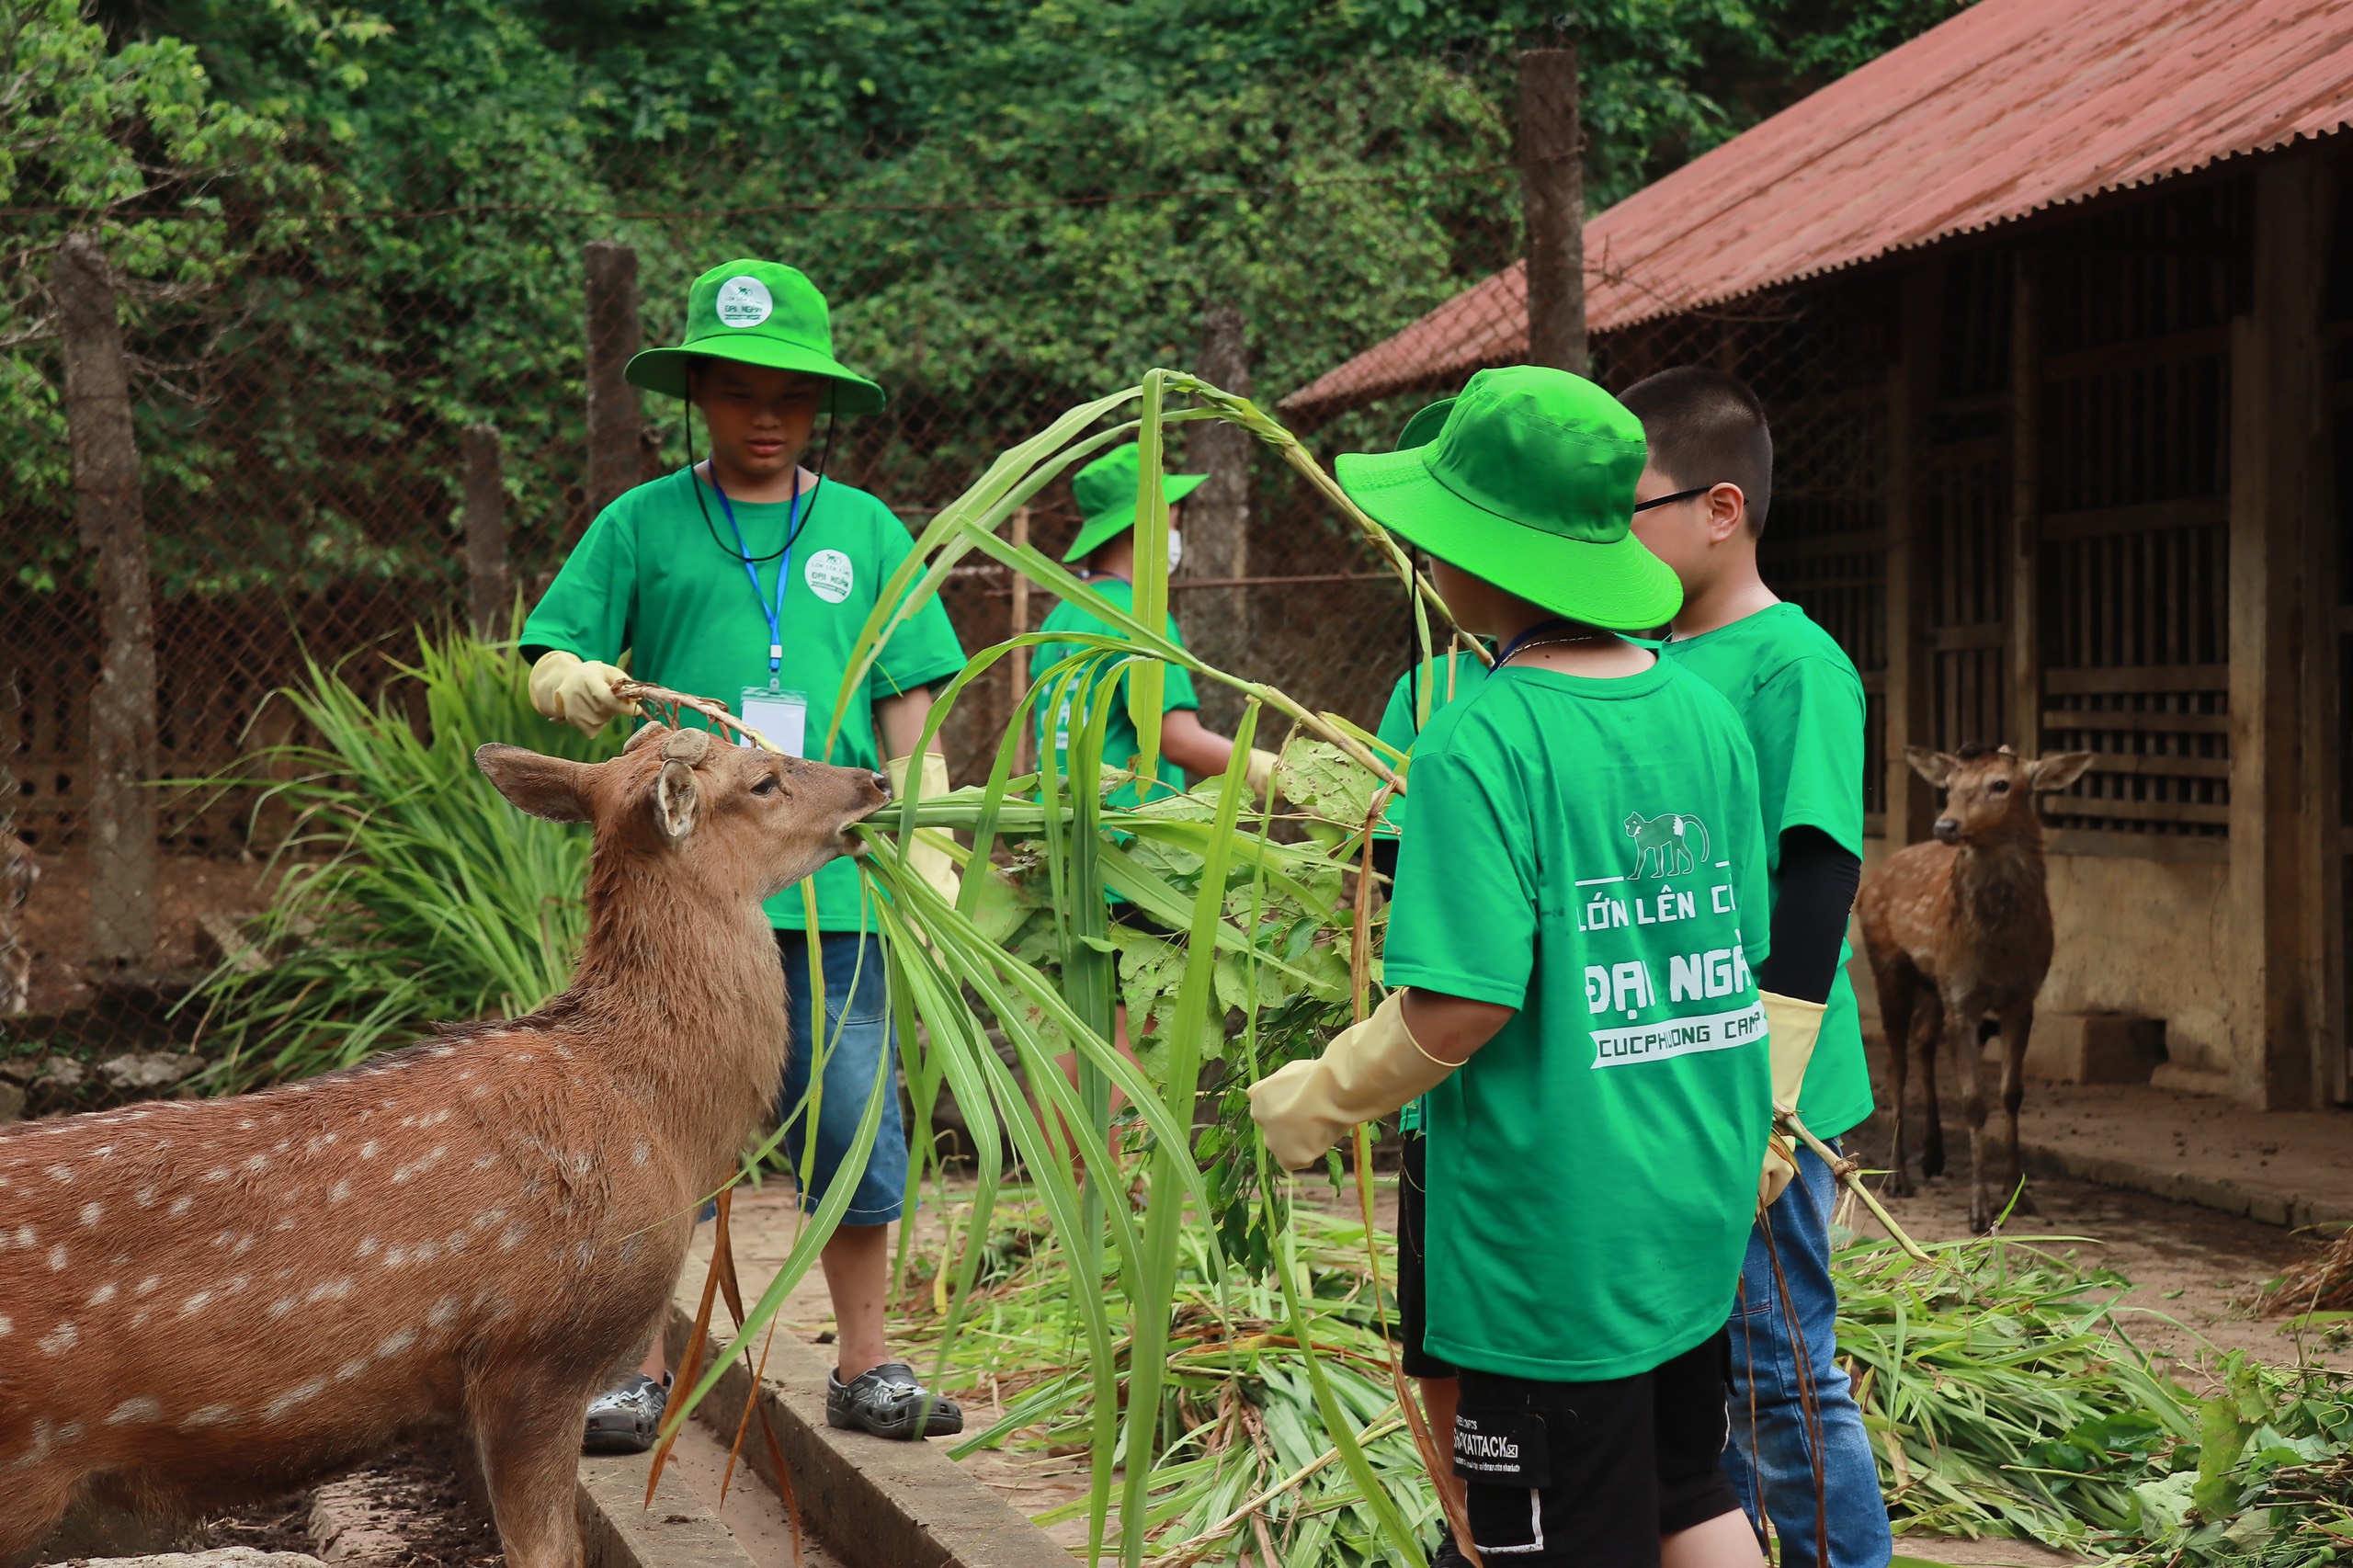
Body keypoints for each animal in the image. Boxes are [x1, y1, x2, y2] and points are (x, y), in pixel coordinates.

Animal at [1854, 739, 2098, 1224]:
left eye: (2000, 784)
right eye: (1949, 785)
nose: (1946, 824)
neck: (1998, 950)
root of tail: (1871, 882)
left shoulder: (2022, 996)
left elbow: (2012, 1094)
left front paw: (2019, 1193)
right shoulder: (1963, 998)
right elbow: (1973, 1102)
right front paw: (1980, 1209)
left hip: (1935, 981)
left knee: (1923, 1041)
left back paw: (1933, 1156)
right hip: (1889, 964)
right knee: (1894, 1065)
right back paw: (1898, 1177)